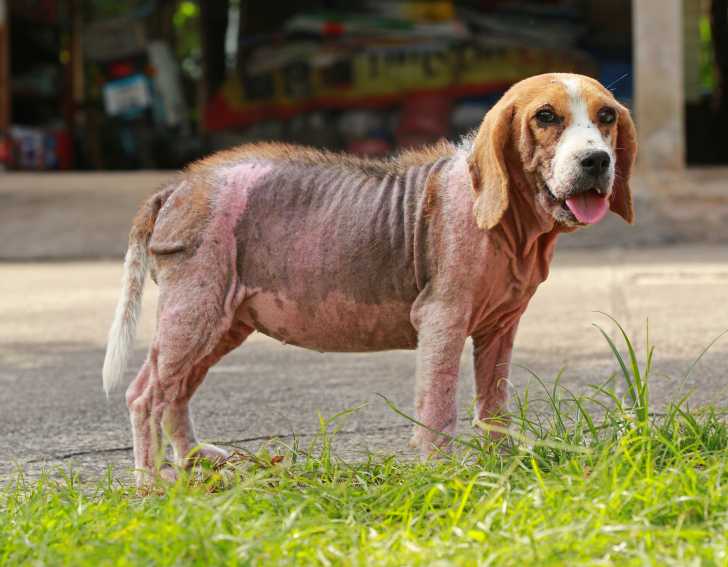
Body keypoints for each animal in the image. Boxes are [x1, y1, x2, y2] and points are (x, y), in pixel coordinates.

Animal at [104, 72, 636, 488]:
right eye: (545, 117)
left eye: (607, 117)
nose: (596, 161)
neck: (511, 224)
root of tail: (176, 186)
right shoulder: (441, 321)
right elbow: (438, 408)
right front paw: (443, 476)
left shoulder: (500, 330)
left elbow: (494, 407)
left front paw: (503, 469)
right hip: (193, 312)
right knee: (144, 395)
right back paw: (150, 485)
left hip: (221, 321)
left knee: (176, 391)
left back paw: (193, 461)